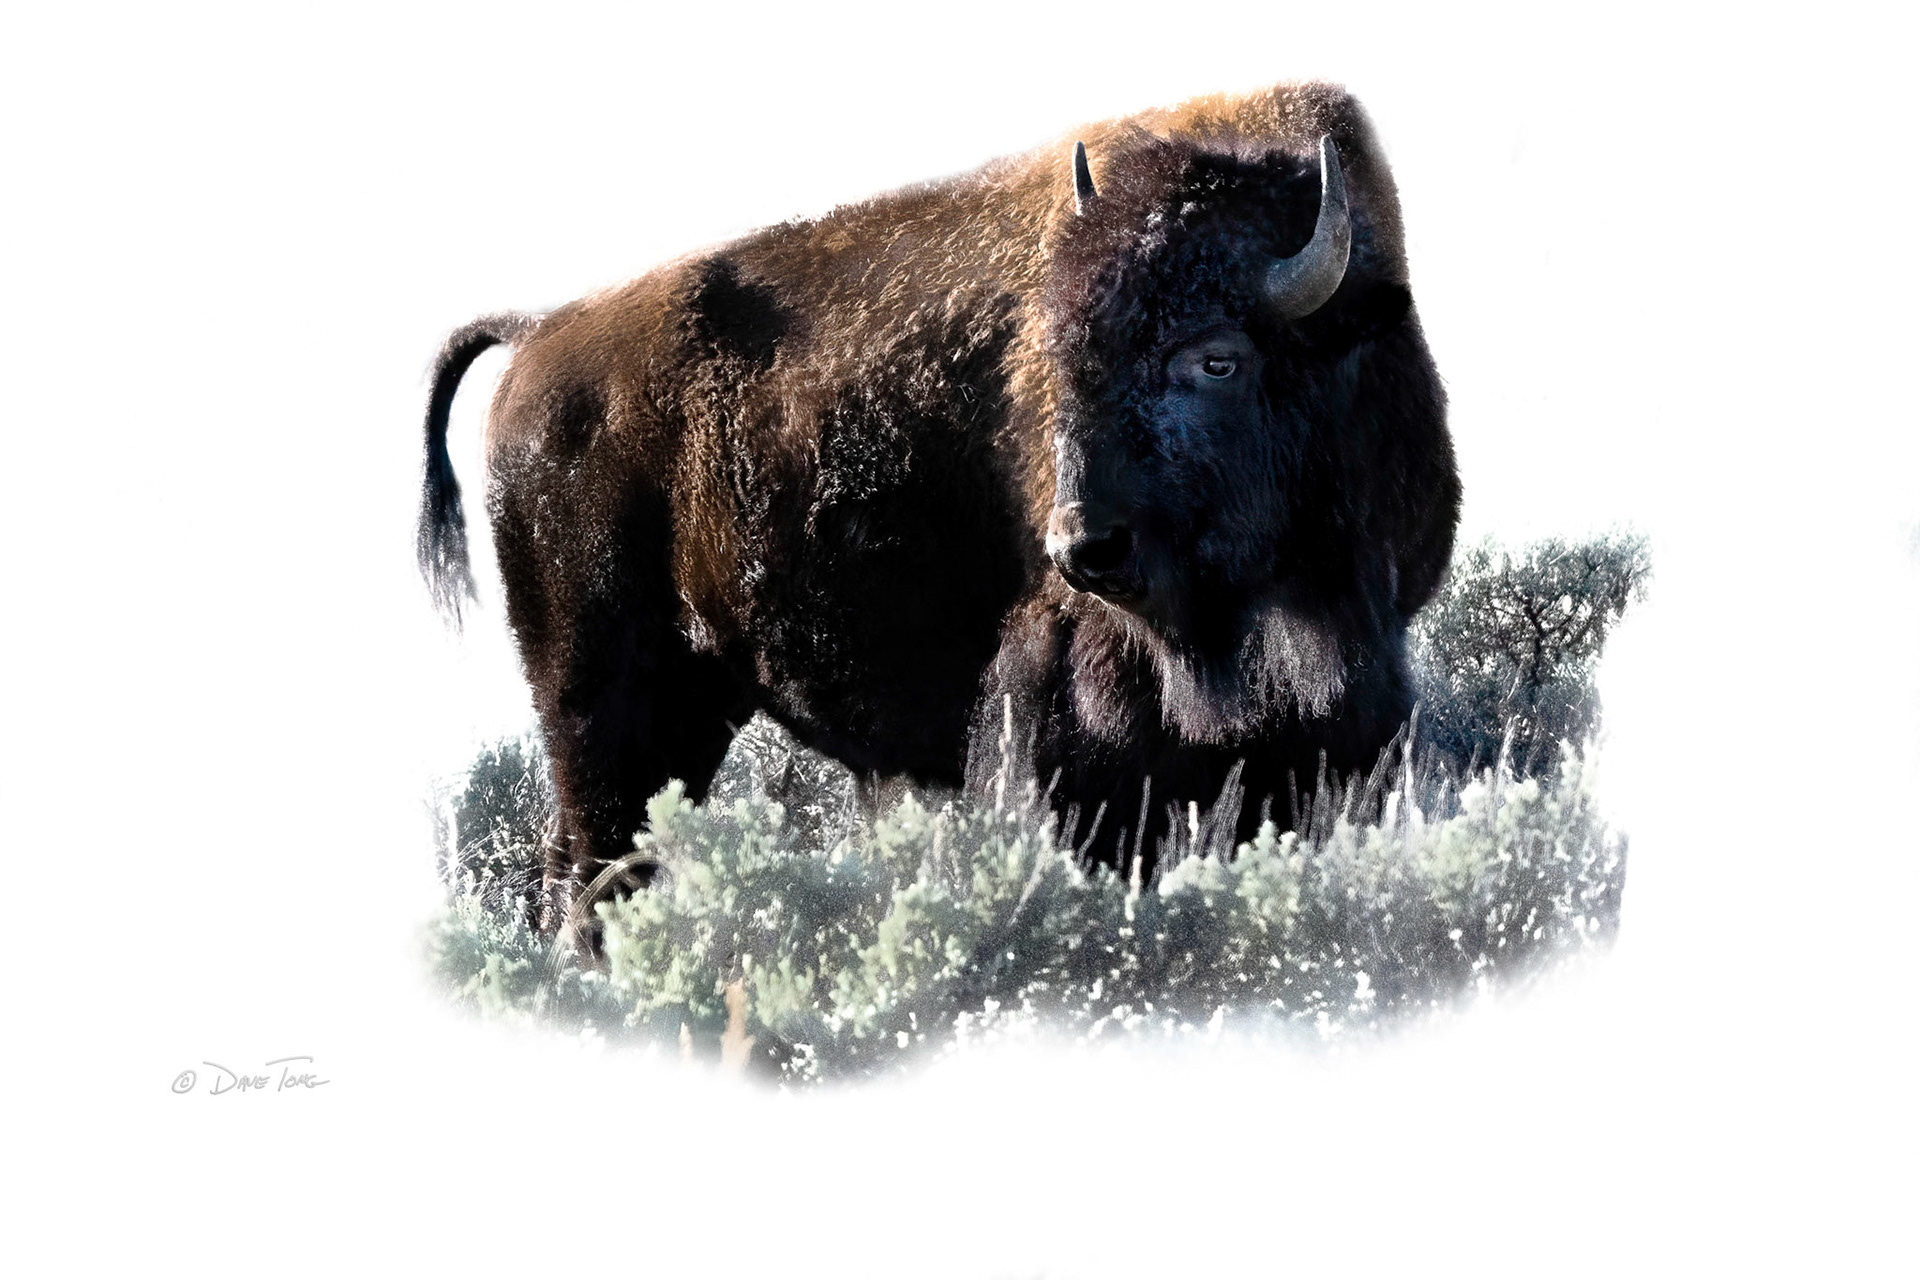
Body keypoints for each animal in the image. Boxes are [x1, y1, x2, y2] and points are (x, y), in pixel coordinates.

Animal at [419, 81, 1459, 929]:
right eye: (1062, 358)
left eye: (1216, 357)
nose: (1084, 548)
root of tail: (538, 336)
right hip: (597, 702)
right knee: (589, 870)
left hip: (689, 711)